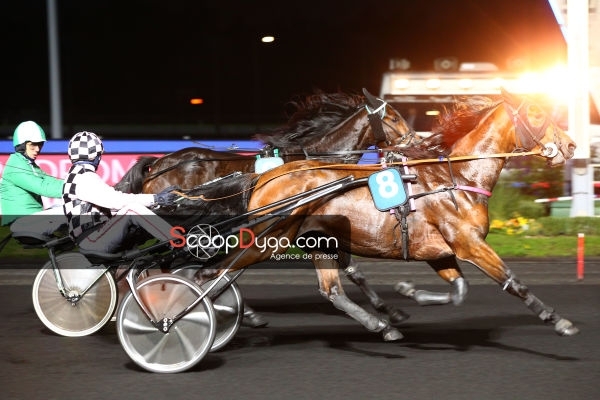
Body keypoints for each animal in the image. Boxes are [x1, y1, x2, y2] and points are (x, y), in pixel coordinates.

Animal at [117, 89, 418, 326]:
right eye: (393, 118)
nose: (415, 141)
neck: (315, 162)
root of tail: (157, 164)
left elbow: (355, 271)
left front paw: (390, 310)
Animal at [176, 90, 580, 340]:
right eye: (537, 113)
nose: (571, 144)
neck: (457, 177)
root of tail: (264, 177)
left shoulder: (440, 251)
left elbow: (458, 290)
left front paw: (408, 294)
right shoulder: (469, 244)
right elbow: (513, 281)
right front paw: (559, 320)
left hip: (315, 241)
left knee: (331, 291)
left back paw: (382, 326)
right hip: (268, 241)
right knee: (213, 274)